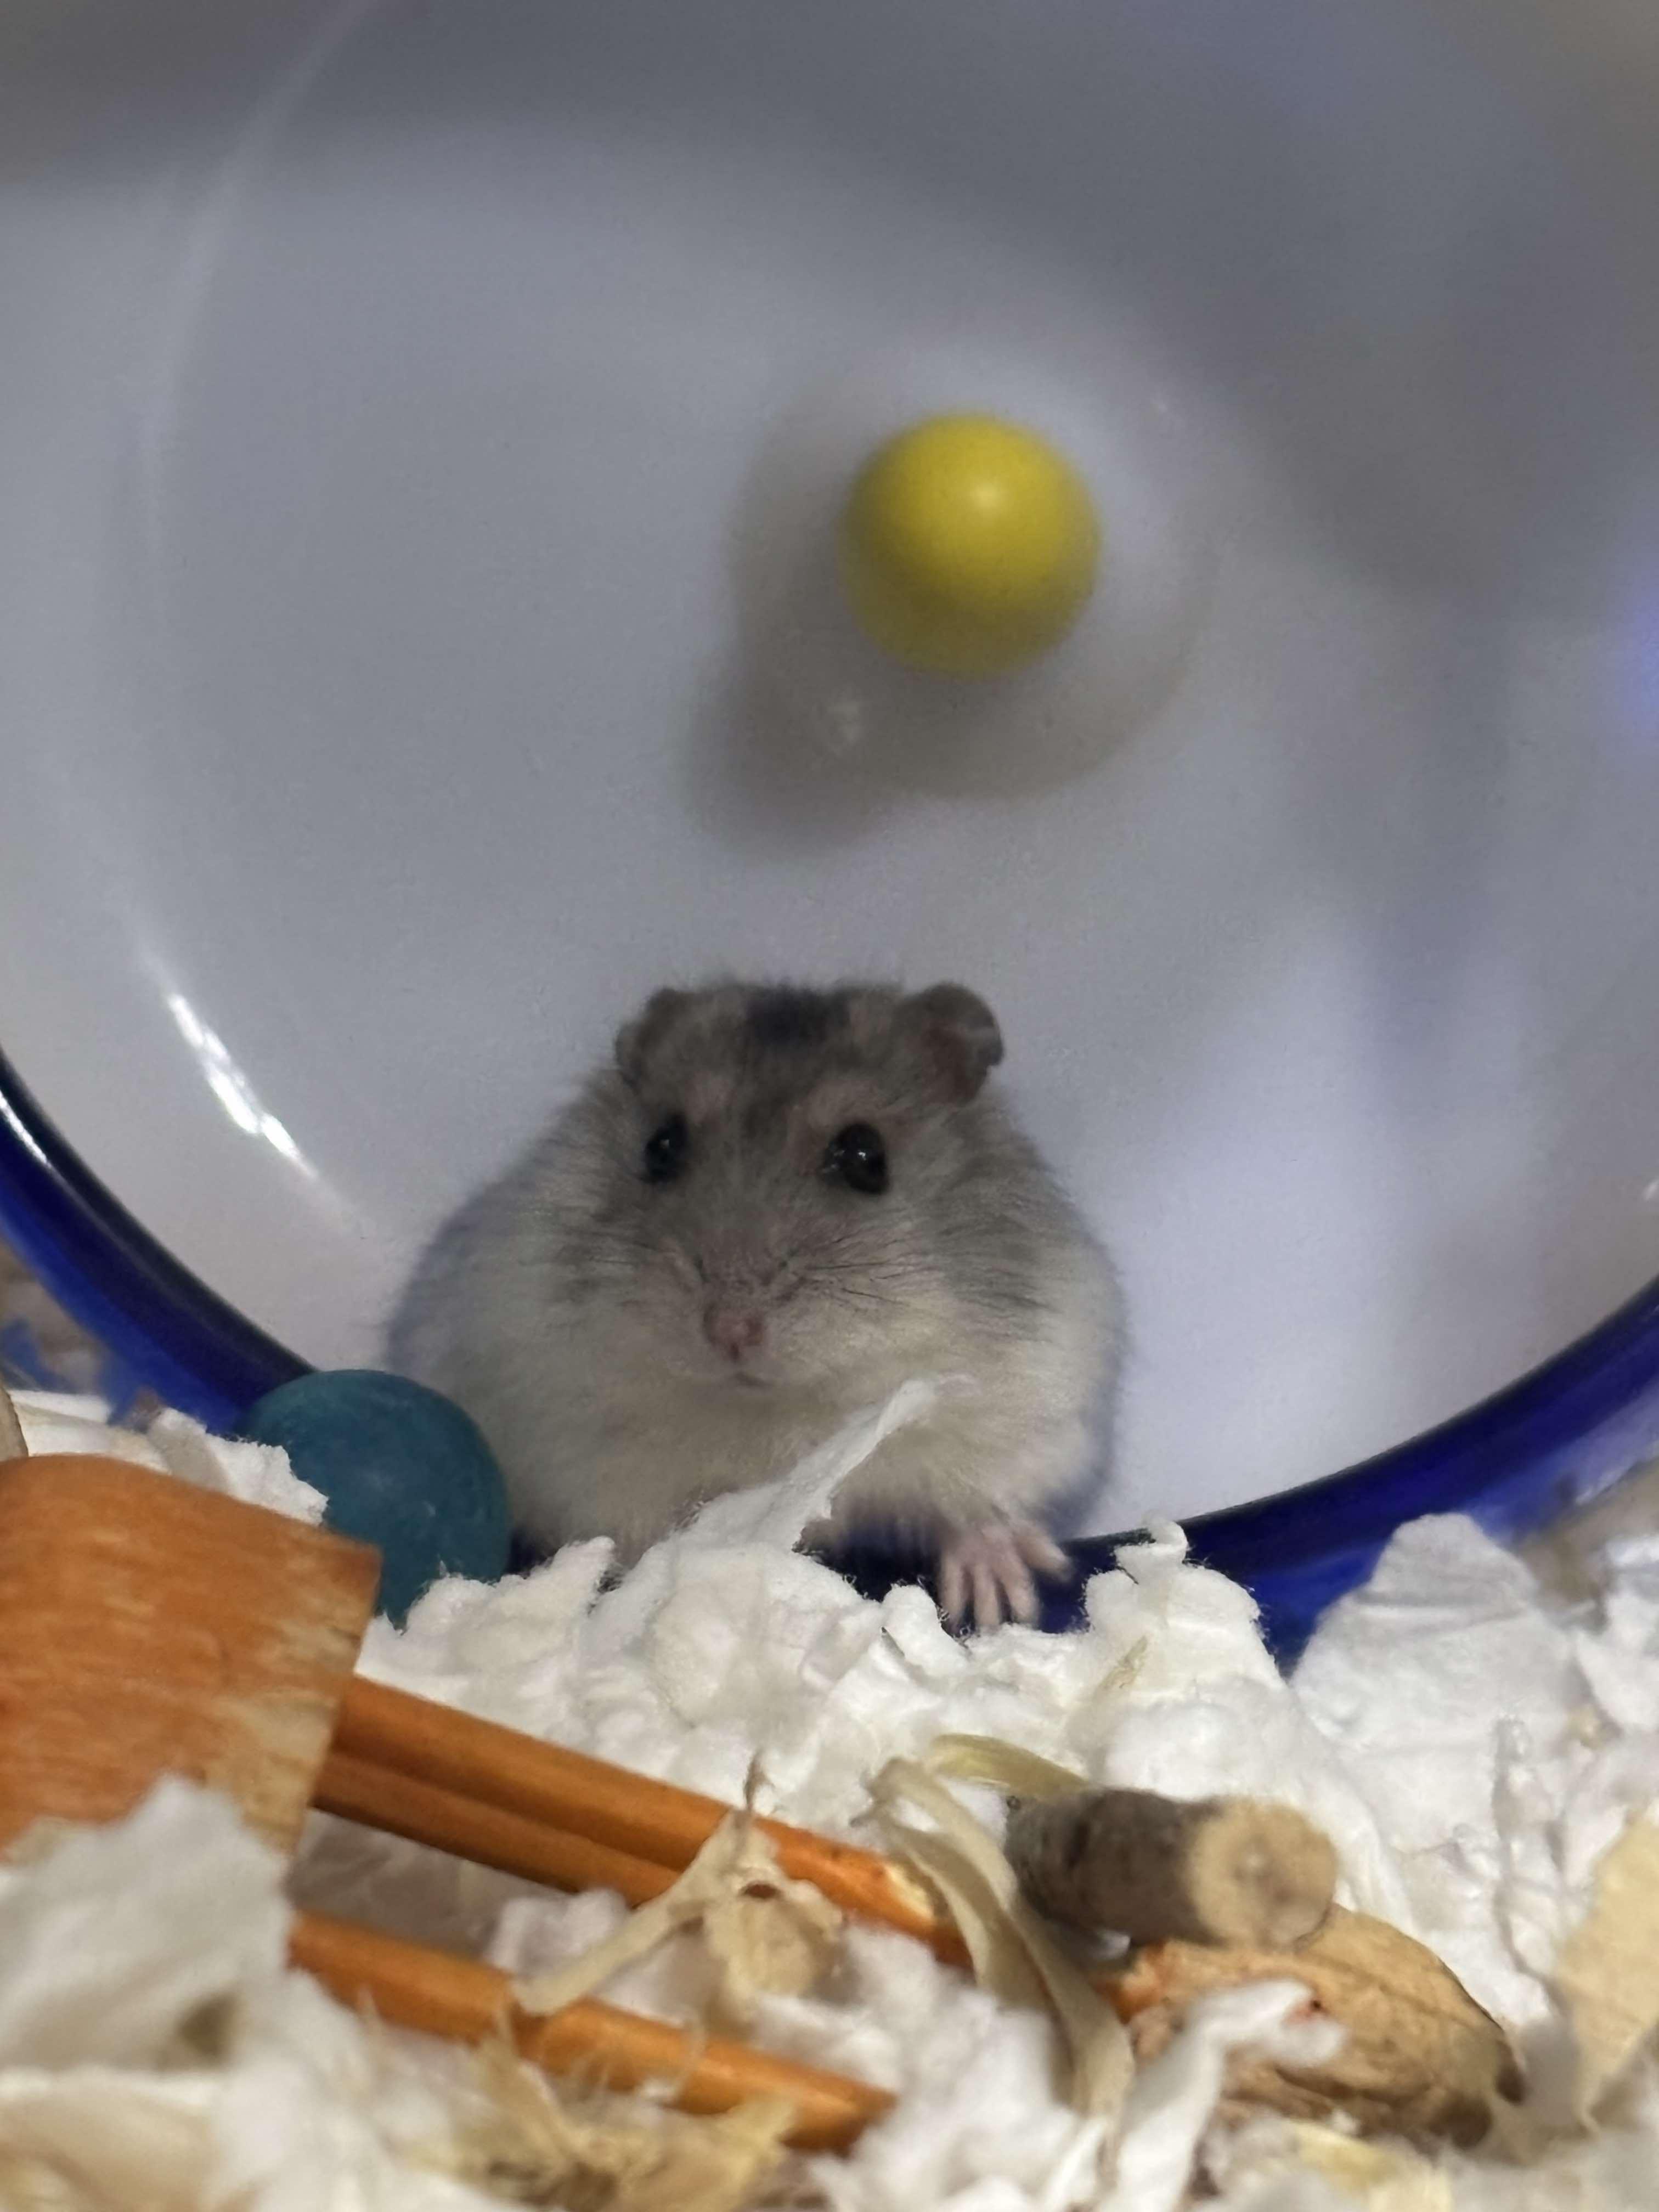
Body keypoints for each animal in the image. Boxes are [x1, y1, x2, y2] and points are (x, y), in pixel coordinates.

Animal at [388, 981, 1122, 1629]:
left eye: (866, 1156)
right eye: (660, 1147)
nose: (730, 1329)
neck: (785, 1407)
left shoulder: (1019, 1417)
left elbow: (976, 1508)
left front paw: (1005, 1600)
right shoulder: (585, 1459)